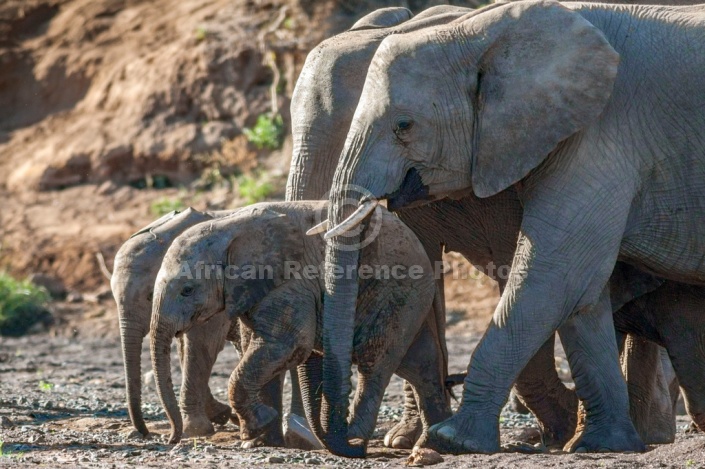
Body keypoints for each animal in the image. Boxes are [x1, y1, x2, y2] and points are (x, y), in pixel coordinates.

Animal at [150, 201, 452, 454]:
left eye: (187, 290)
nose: (172, 439)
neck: (228, 227)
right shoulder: (251, 289)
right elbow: (259, 348)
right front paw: (259, 438)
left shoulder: (290, 282)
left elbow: (285, 345)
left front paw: (259, 427)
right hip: (409, 296)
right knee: (420, 364)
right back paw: (431, 443)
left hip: (396, 289)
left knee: (375, 361)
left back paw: (355, 440)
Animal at [322, 0, 704, 454]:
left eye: (404, 126)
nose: (354, 442)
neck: (481, 31)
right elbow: (581, 293)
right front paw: (599, 445)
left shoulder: (603, 137)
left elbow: (553, 276)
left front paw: (453, 439)